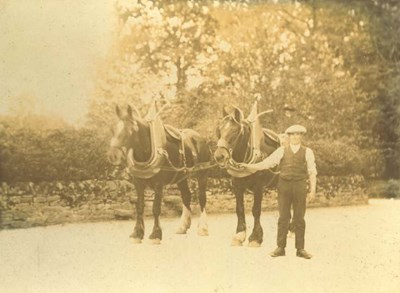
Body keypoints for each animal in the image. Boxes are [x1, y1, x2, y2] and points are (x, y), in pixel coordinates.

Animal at [106, 101, 212, 243]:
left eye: (130, 130)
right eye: (112, 129)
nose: (113, 155)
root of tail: (200, 138)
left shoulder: (158, 184)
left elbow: (156, 208)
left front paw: (156, 234)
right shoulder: (138, 183)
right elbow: (139, 207)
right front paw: (137, 233)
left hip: (202, 175)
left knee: (201, 197)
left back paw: (203, 228)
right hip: (181, 177)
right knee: (186, 196)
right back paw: (183, 226)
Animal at [214, 100, 280, 246]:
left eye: (235, 131)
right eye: (219, 130)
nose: (219, 156)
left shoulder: (259, 187)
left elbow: (256, 210)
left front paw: (256, 237)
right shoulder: (237, 186)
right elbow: (239, 209)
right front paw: (239, 235)